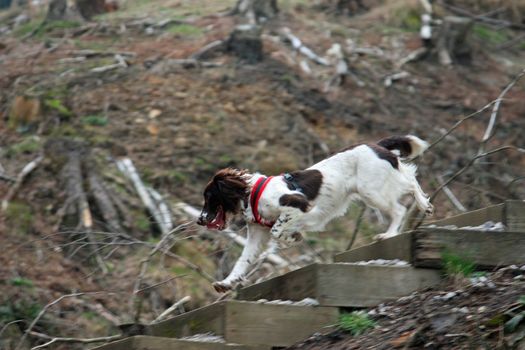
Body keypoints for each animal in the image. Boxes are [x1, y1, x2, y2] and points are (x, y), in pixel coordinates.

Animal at [194, 135, 432, 292]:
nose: (199, 220)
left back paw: (390, 233)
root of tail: (375, 145)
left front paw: (292, 237)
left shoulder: (297, 203)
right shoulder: (256, 233)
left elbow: (277, 230)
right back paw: (425, 205)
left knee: (400, 206)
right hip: (374, 188)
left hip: (371, 190)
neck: (252, 194)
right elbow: (242, 262)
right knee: (410, 180)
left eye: (209, 197)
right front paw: (226, 283)